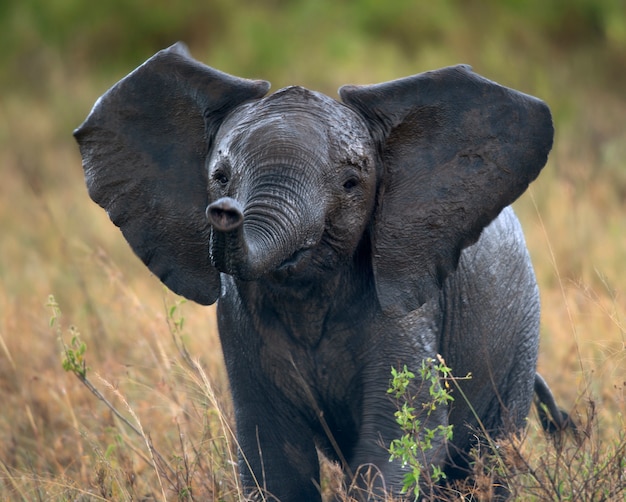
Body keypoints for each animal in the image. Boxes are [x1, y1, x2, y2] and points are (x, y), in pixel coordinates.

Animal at [75, 44, 564, 502]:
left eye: (351, 184)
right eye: (220, 177)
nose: (224, 211)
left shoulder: (407, 307)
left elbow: (401, 445)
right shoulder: (238, 320)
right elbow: (272, 459)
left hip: (519, 337)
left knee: (486, 459)